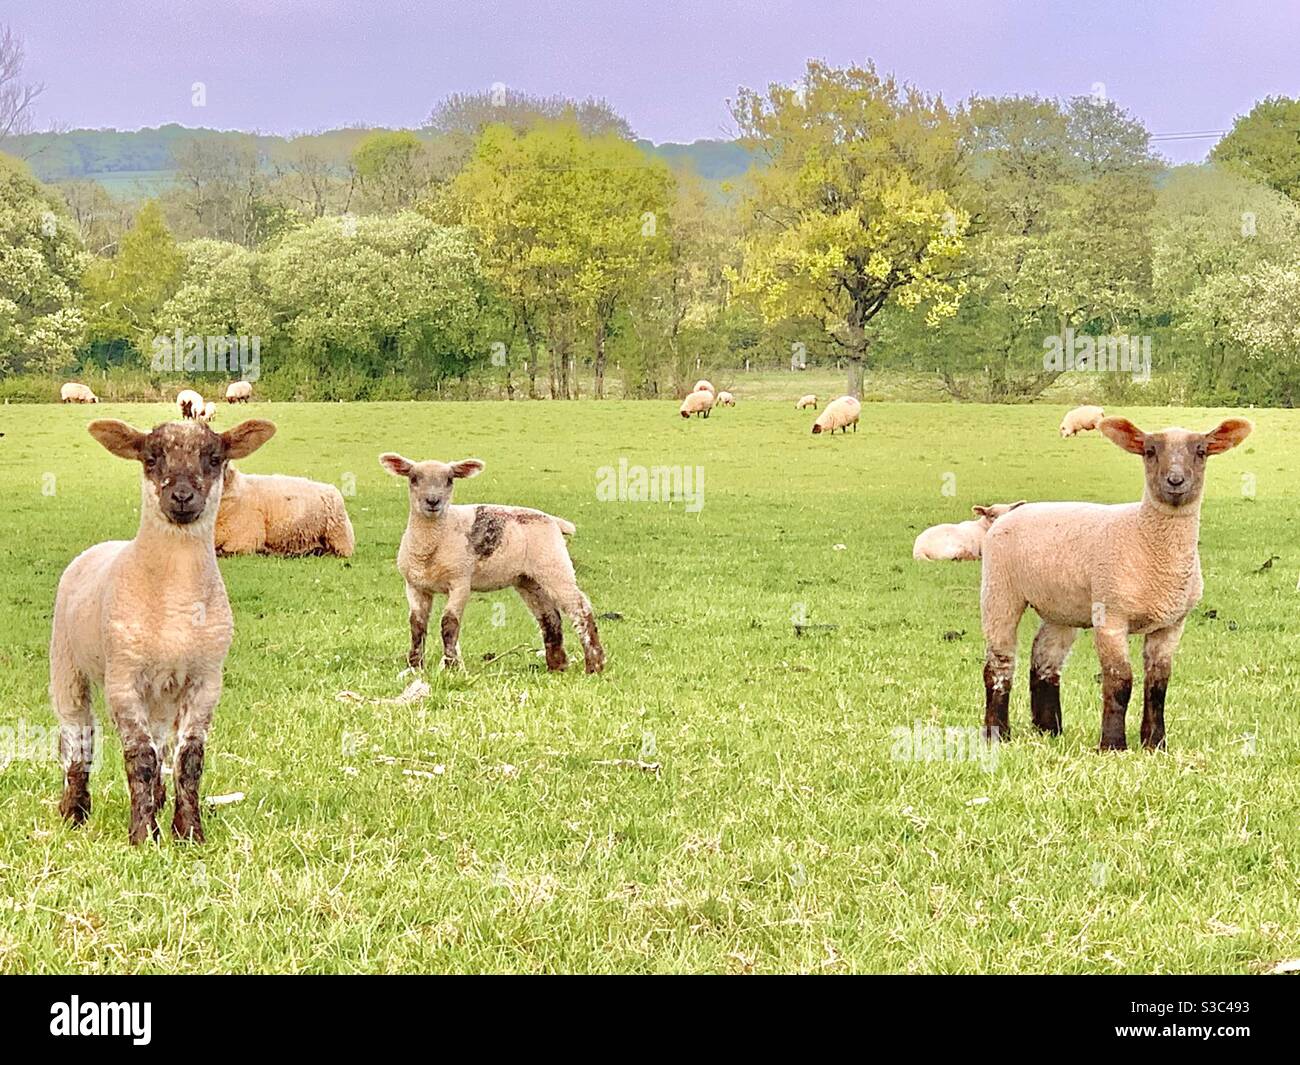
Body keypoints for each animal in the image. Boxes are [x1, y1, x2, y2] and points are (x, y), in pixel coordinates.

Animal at [48, 416, 276, 842]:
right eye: (150, 458)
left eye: (214, 458)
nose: (182, 496)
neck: (175, 602)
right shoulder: (123, 679)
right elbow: (138, 758)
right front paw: (142, 836)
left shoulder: (206, 680)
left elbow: (189, 759)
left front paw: (188, 833)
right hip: (66, 663)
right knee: (77, 738)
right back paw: (74, 810)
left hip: (161, 694)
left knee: (158, 748)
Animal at [379, 452, 605, 676]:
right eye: (413, 478)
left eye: (450, 480)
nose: (433, 501)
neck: (432, 543)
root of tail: (554, 521)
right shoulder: (415, 585)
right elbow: (417, 625)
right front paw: (415, 666)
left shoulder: (460, 581)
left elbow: (449, 624)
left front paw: (451, 667)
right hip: (527, 579)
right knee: (549, 616)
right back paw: (557, 666)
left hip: (554, 564)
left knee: (580, 609)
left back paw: (595, 664)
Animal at [982, 413, 1248, 749]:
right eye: (1149, 451)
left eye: (1201, 451)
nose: (1175, 481)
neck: (1144, 536)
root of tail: (1009, 512)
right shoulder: (1111, 616)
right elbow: (1120, 681)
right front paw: (1112, 744)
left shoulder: (1172, 624)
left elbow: (1158, 684)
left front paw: (1155, 743)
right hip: (999, 589)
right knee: (999, 663)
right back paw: (996, 734)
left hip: (1061, 607)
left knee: (1044, 661)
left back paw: (1049, 729)